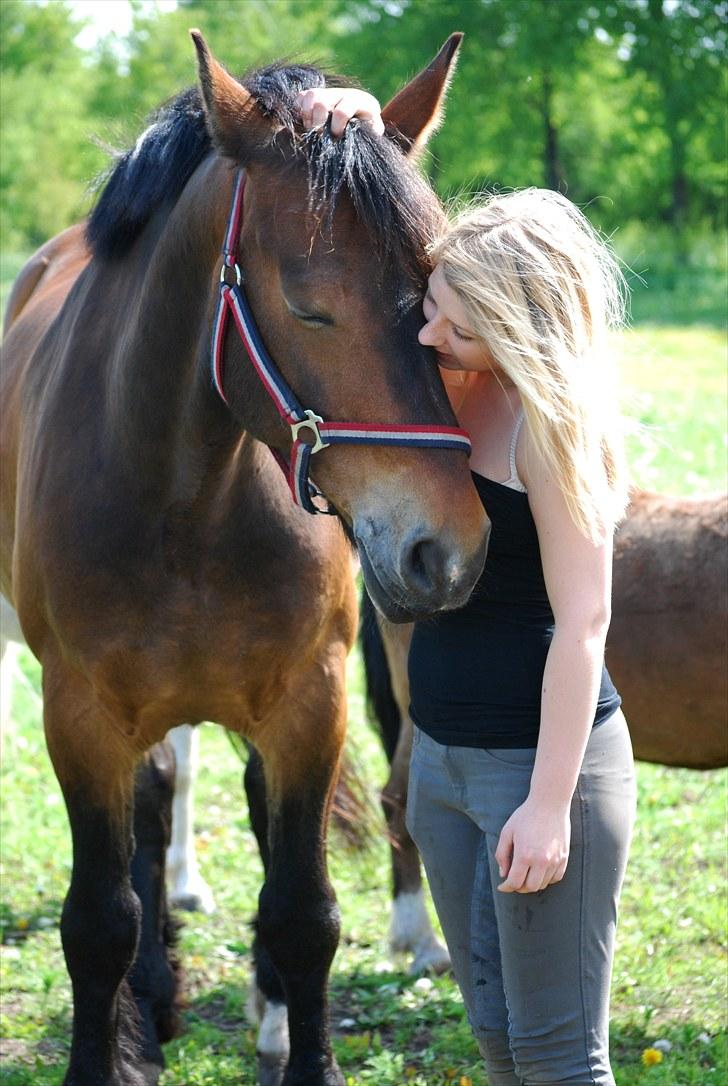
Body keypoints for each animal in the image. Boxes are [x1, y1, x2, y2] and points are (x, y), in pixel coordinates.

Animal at [2, 29, 491, 1081]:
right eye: (308, 309)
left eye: (434, 300)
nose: (449, 547)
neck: (182, 493)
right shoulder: (81, 715)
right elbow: (97, 921)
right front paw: (117, 1037)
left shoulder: (310, 704)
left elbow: (304, 912)